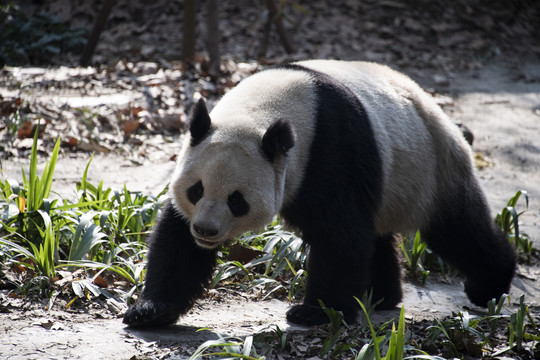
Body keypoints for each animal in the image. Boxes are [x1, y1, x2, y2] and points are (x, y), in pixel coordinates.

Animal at [122, 60, 516, 328]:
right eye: (196, 189)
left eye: (237, 200)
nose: (205, 231)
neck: (262, 111)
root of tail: (444, 118)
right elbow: (177, 237)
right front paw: (150, 310)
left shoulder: (329, 149)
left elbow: (338, 233)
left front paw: (314, 312)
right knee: (377, 235)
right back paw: (380, 295)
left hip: (433, 171)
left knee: (458, 231)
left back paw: (488, 285)